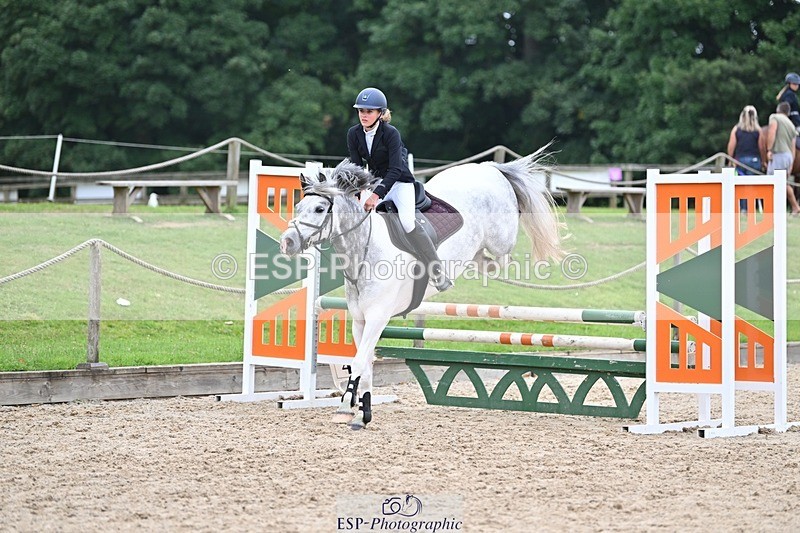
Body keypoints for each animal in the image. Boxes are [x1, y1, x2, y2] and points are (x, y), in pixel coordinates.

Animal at [278, 150, 563, 429]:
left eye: (319, 209)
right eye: (298, 206)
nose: (287, 243)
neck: (366, 249)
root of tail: (489, 168)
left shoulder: (378, 317)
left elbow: (359, 362)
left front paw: (346, 407)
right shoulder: (360, 321)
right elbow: (365, 364)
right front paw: (362, 413)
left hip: (501, 238)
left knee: (503, 258)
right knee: (484, 259)